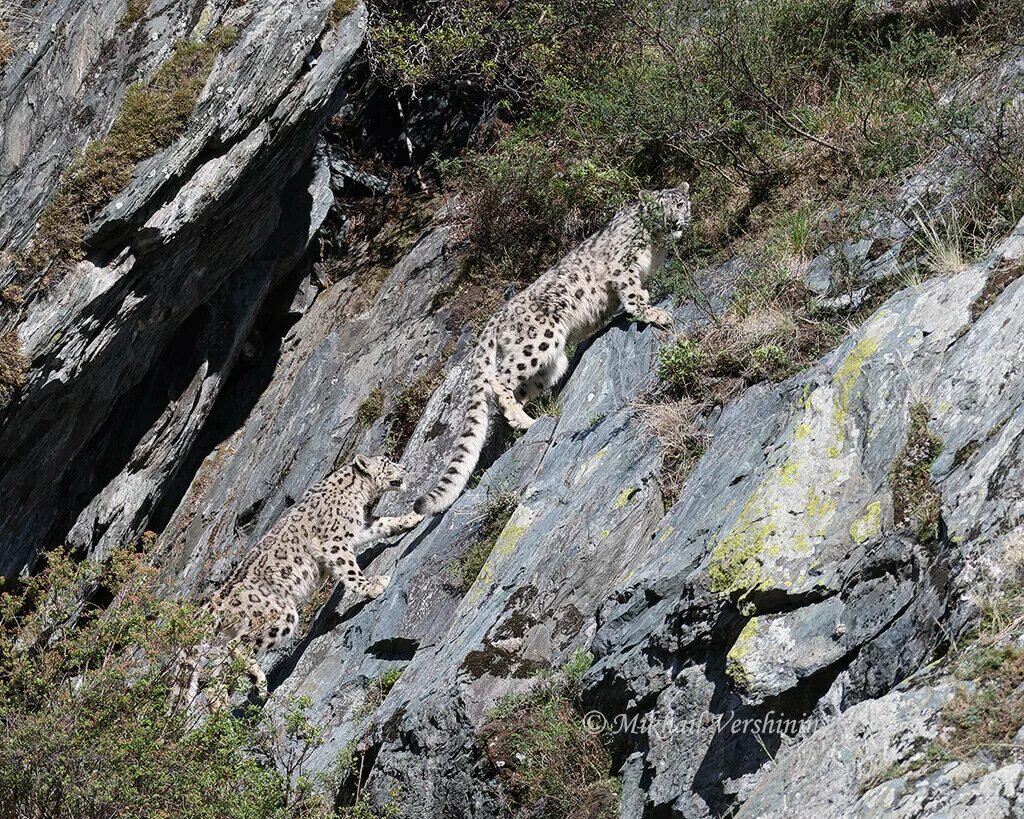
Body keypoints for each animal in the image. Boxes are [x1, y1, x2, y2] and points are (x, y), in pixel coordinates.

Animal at [411, 186, 692, 518]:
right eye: (660, 207)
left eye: (680, 204)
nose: (674, 221)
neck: (656, 244)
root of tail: (494, 318)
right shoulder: (623, 266)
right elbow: (634, 294)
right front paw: (654, 313)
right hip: (539, 341)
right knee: (498, 380)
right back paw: (523, 420)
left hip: (550, 367)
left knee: (517, 390)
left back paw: (522, 423)